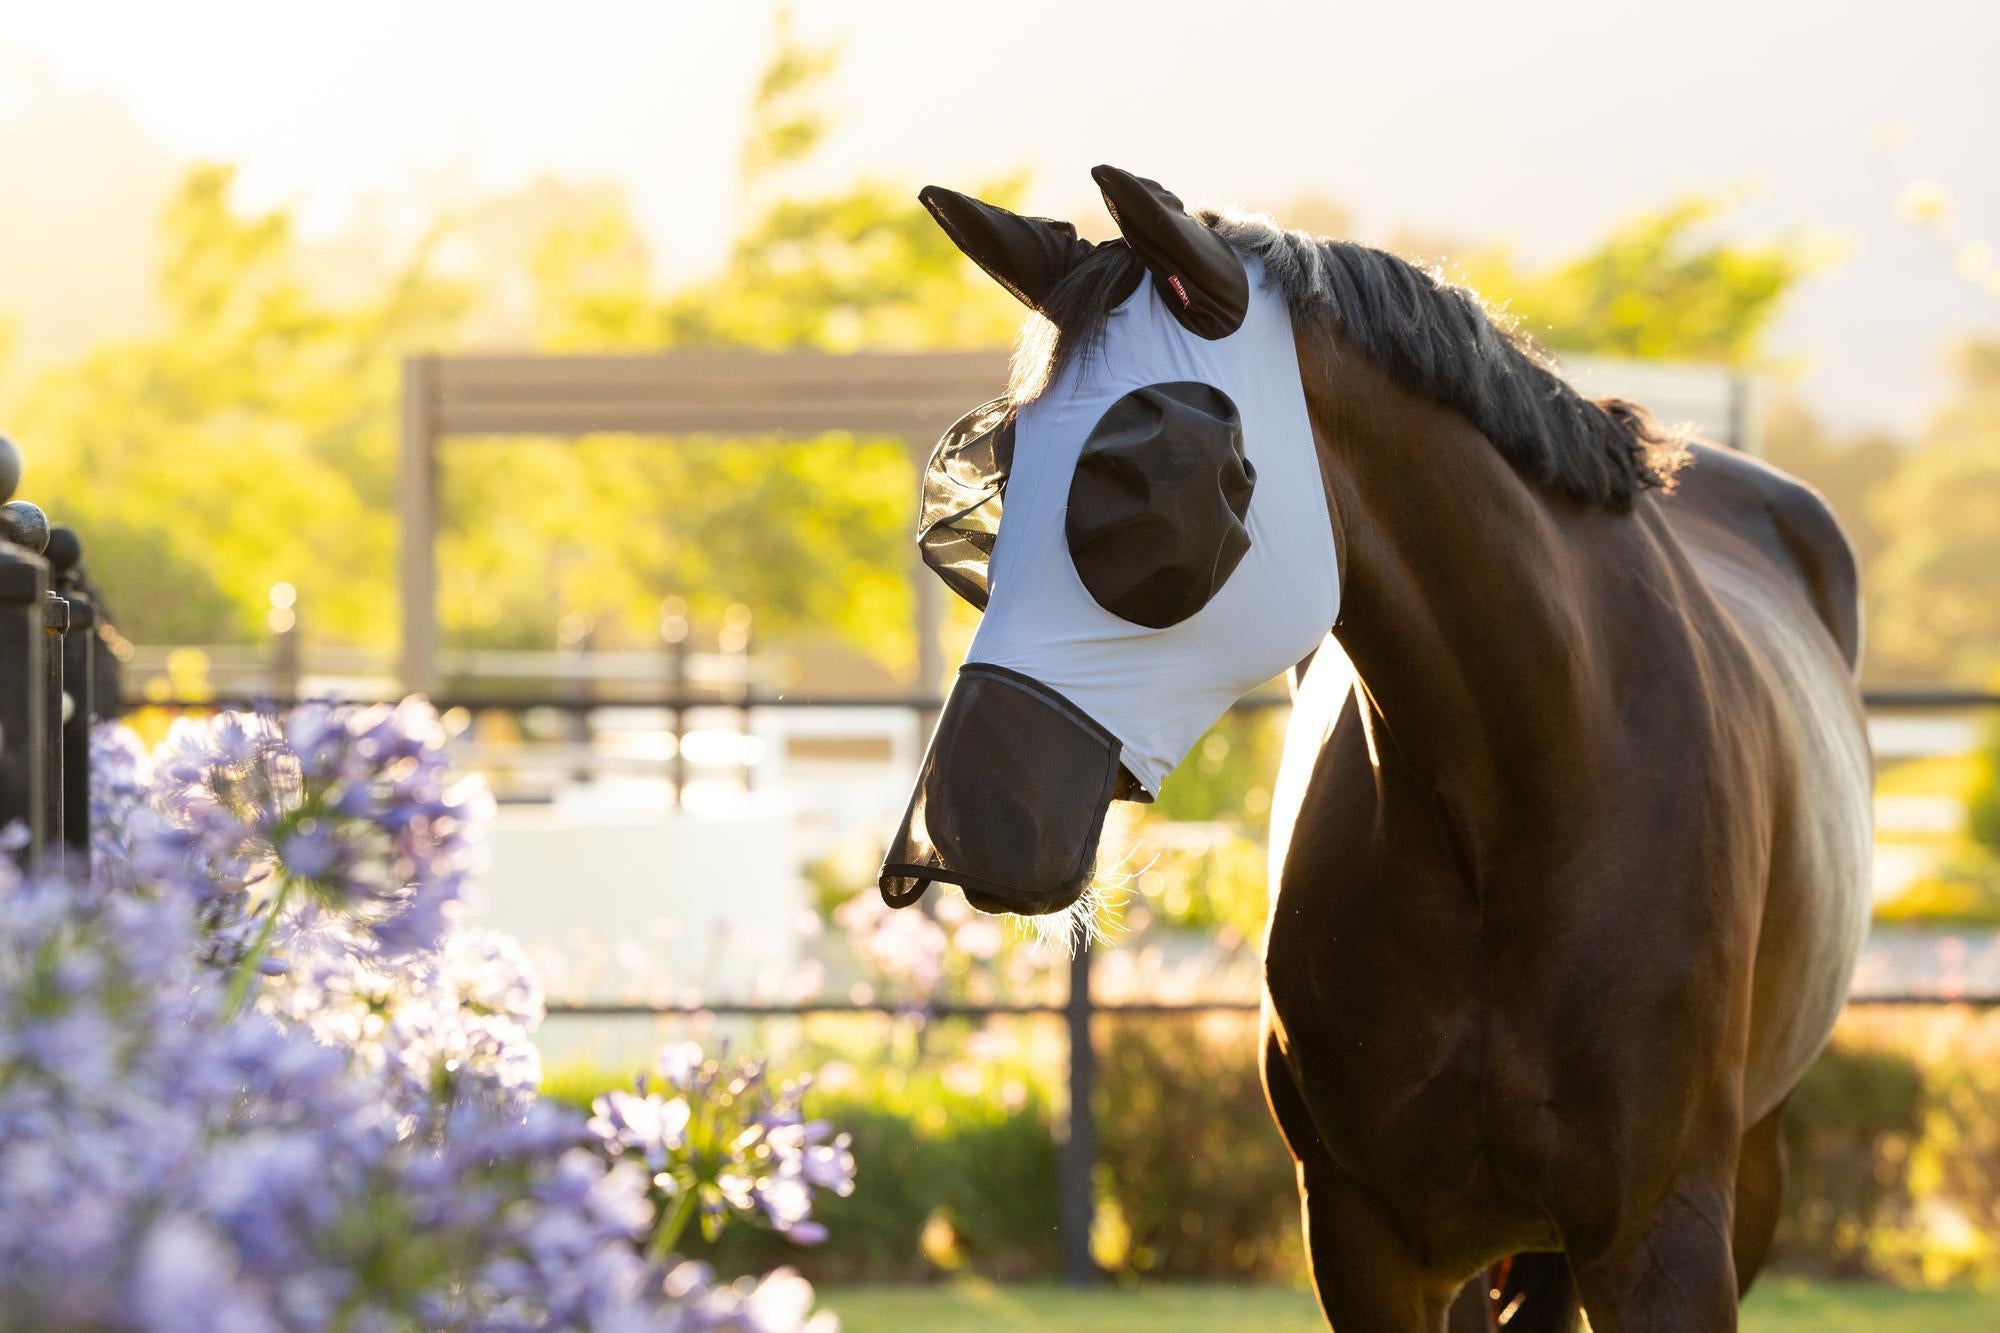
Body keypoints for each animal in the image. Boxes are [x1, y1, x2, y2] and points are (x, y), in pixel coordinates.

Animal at [878, 166, 1872, 1331]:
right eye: (991, 482)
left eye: (1147, 481)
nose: (965, 824)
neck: (1523, 792)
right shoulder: (1369, 1239)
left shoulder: (1661, 1237)